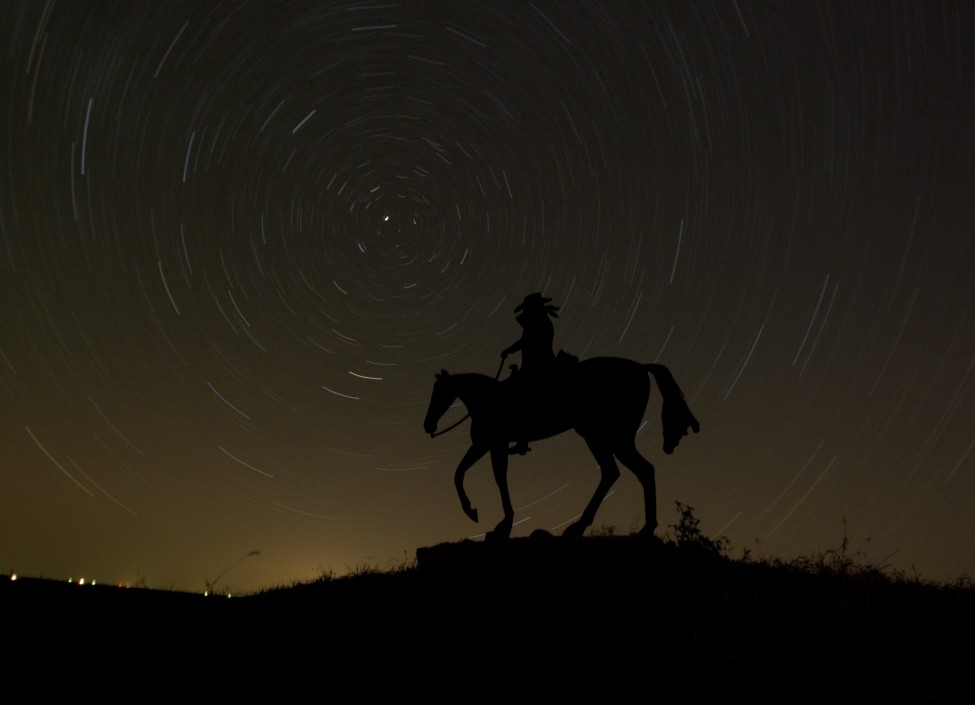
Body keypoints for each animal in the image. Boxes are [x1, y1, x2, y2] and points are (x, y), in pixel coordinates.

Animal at [424, 360, 696, 540]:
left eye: (438, 394)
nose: (428, 425)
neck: (487, 399)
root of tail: (640, 366)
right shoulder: (487, 445)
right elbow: (467, 474)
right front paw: (485, 516)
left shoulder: (492, 444)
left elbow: (486, 477)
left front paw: (489, 518)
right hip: (606, 437)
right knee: (628, 472)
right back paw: (637, 527)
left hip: (607, 436)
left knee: (628, 471)